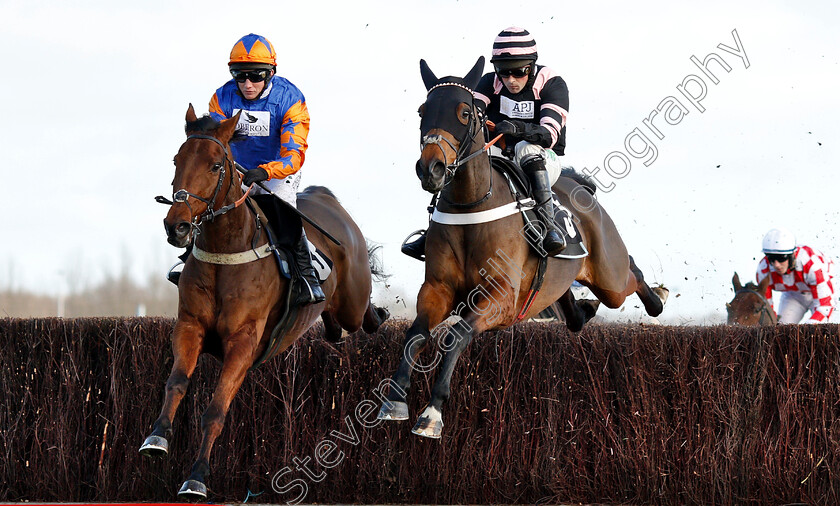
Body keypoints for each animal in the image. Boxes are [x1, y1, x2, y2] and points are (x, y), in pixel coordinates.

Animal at [141, 104, 390, 498]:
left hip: (353, 299)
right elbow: (176, 382)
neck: (226, 252)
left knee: (364, 317)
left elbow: (216, 410)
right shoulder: (190, 326)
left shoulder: (244, 341)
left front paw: (196, 477)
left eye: (216, 165)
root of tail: (328, 200)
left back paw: (382, 314)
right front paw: (156, 438)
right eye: (177, 160)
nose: (176, 226)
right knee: (334, 329)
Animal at [378, 57, 668, 438]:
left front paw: (432, 412)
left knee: (629, 272)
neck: (471, 206)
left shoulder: (500, 298)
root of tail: (582, 186)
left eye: (464, 112)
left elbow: (456, 334)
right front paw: (394, 400)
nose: (432, 169)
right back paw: (586, 310)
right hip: (557, 286)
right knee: (573, 313)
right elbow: (415, 334)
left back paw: (657, 299)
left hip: (610, 278)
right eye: (422, 110)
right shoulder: (438, 289)